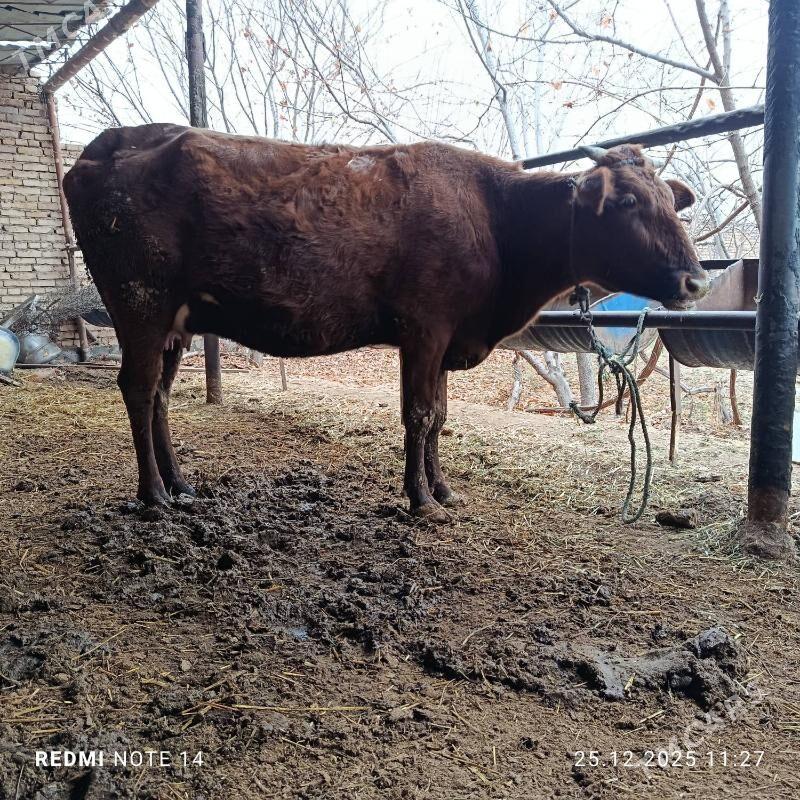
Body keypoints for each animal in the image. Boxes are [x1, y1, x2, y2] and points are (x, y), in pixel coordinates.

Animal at [64, 125, 709, 521]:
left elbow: (441, 416)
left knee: (161, 395)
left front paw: (443, 489)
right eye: (626, 202)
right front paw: (420, 499)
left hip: (177, 320)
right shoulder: (424, 328)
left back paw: (180, 485)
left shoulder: (447, 336)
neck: (495, 219)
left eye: (670, 202)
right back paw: (152, 494)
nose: (695, 282)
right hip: (140, 303)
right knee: (138, 388)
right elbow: (419, 414)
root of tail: (104, 145)